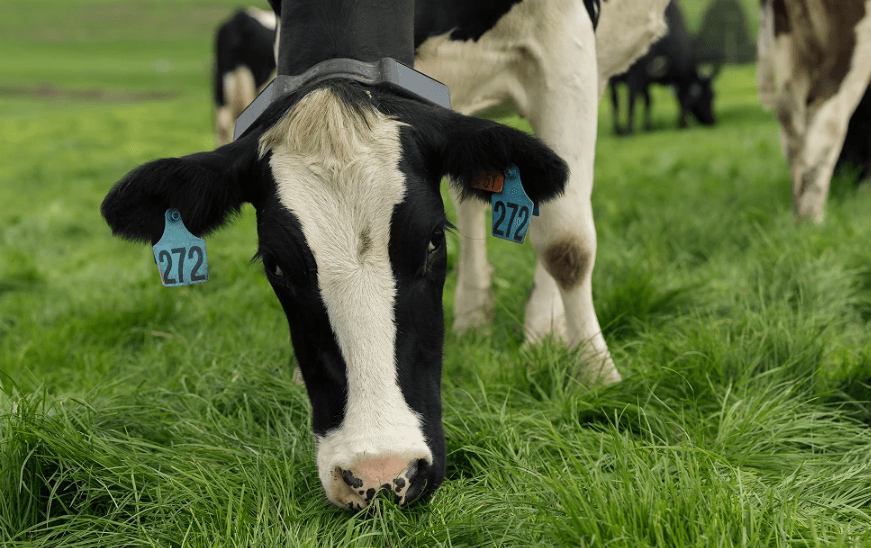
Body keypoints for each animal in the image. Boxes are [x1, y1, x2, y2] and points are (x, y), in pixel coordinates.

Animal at [609, 0, 719, 134]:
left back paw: (618, 130)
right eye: (710, 95)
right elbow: (683, 100)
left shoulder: (645, 81)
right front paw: (683, 125)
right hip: (632, 73)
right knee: (630, 98)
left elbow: (649, 100)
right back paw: (629, 130)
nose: (712, 120)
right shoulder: (677, 77)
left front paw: (647, 127)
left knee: (615, 100)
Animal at [756, 0, 871, 223]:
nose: (848, 177)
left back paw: (798, 212)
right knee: (828, 118)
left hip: (785, 34)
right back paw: (812, 217)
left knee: (790, 119)